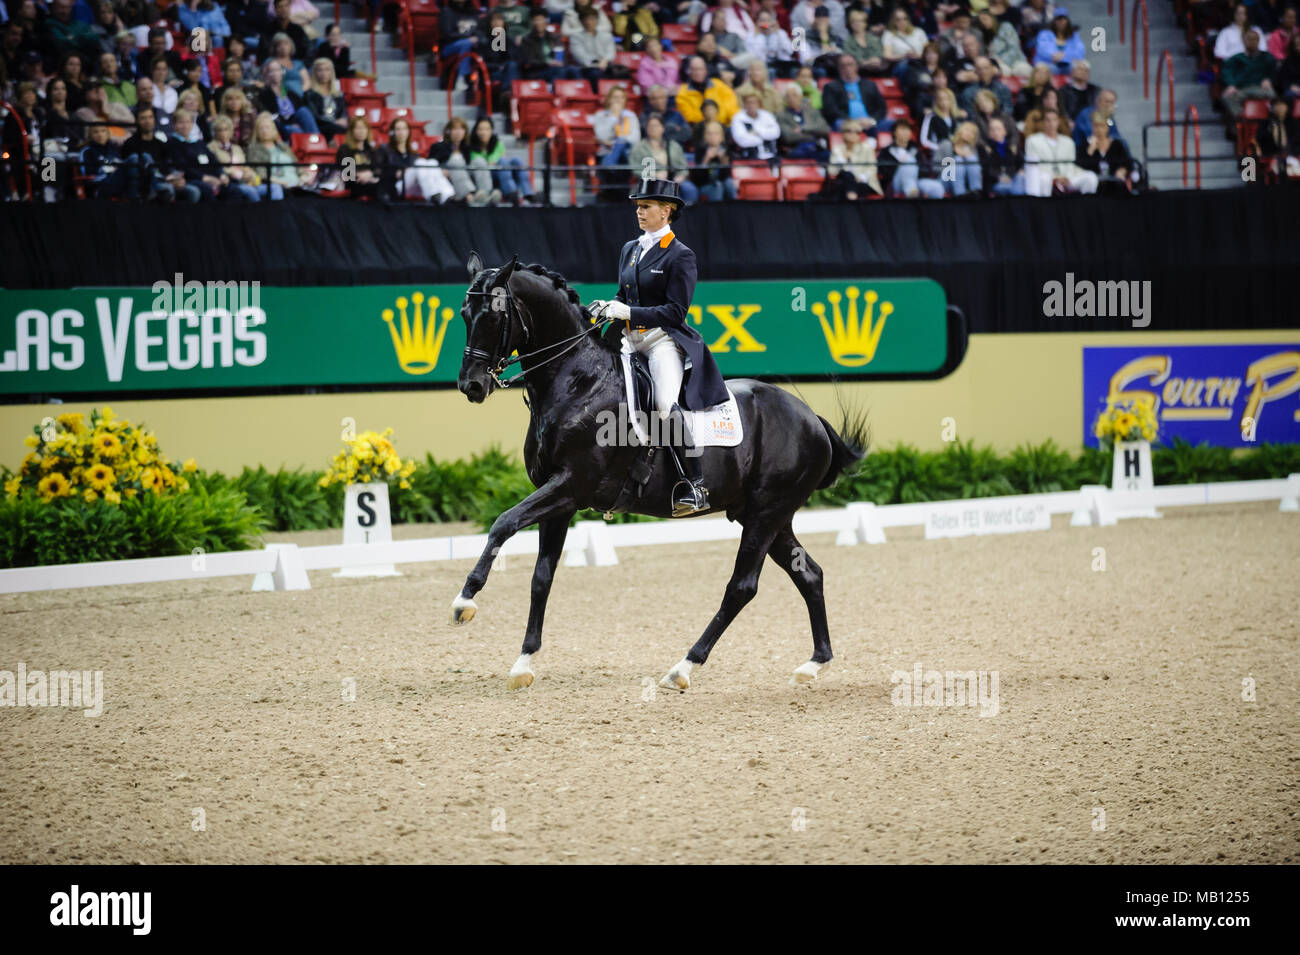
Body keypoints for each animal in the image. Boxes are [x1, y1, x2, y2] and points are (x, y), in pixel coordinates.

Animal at [452, 250, 868, 691]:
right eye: (464, 313)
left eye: (494, 315)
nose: (472, 386)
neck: (577, 382)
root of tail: (810, 418)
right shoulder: (559, 500)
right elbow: (541, 576)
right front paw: (523, 663)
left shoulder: (569, 486)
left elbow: (503, 523)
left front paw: (465, 601)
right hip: (766, 516)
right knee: (809, 574)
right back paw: (815, 663)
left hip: (765, 514)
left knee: (742, 587)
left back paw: (683, 667)